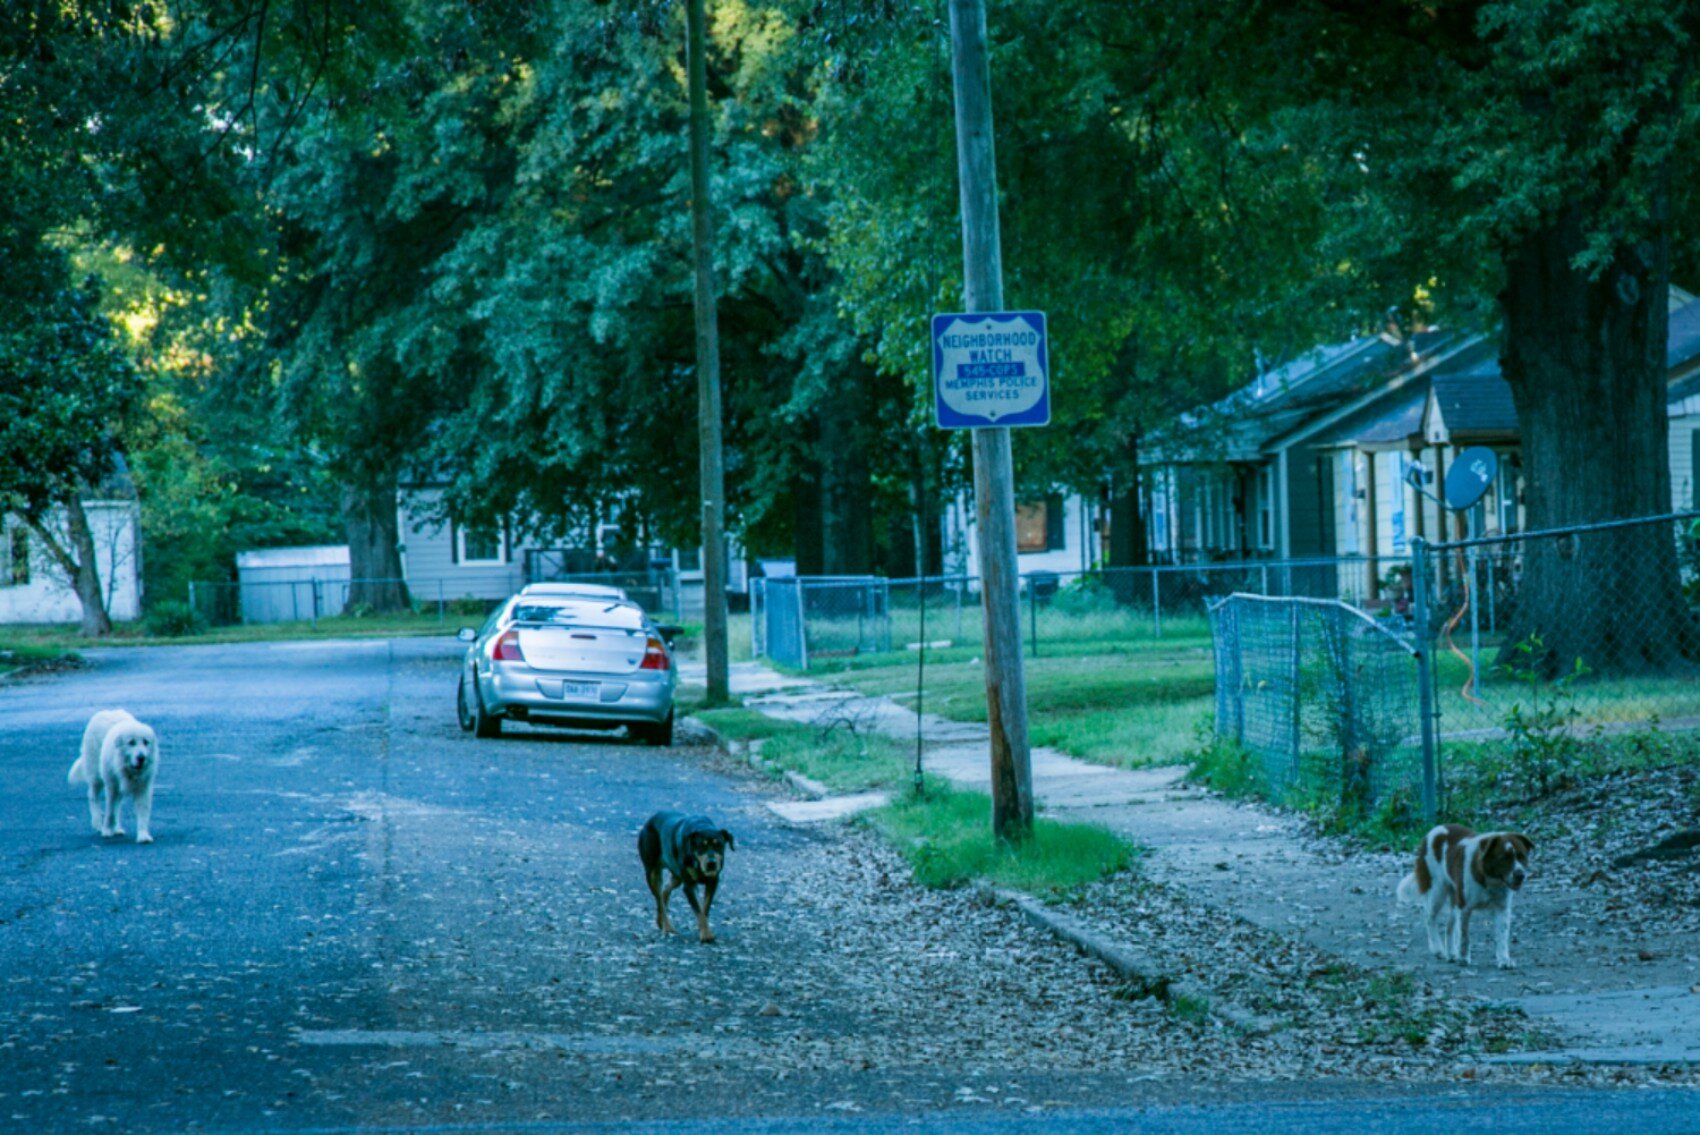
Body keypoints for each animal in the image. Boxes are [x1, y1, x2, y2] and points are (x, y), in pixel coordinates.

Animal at [68, 710, 159, 842]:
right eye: (131, 742)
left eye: (145, 742)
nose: (141, 757)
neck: (127, 768)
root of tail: (107, 711)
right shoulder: (112, 787)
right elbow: (110, 811)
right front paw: (106, 830)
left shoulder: (143, 788)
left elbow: (142, 812)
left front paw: (143, 835)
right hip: (96, 777)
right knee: (93, 796)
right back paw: (98, 822)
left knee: (117, 806)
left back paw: (117, 828)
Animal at [635, 812, 734, 944]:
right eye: (701, 846)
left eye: (719, 845)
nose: (711, 863)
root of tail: (648, 822)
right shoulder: (689, 886)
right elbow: (699, 910)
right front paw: (706, 935)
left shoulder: (713, 882)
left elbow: (705, 909)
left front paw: (703, 929)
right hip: (652, 872)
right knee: (659, 899)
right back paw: (667, 927)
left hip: (676, 874)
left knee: (665, 890)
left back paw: (660, 919)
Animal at [1400, 818, 1536, 971]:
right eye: (1503, 858)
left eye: (1521, 856)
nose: (1520, 875)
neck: (1490, 879)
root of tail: (1434, 830)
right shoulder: (1464, 908)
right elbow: (1464, 936)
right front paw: (1464, 958)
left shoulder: (1502, 909)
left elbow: (1502, 937)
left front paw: (1504, 960)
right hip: (1437, 890)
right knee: (1430, 918)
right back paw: (1437, 949)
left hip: (1454, 899)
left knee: (1449, 924)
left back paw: (1452, 954)